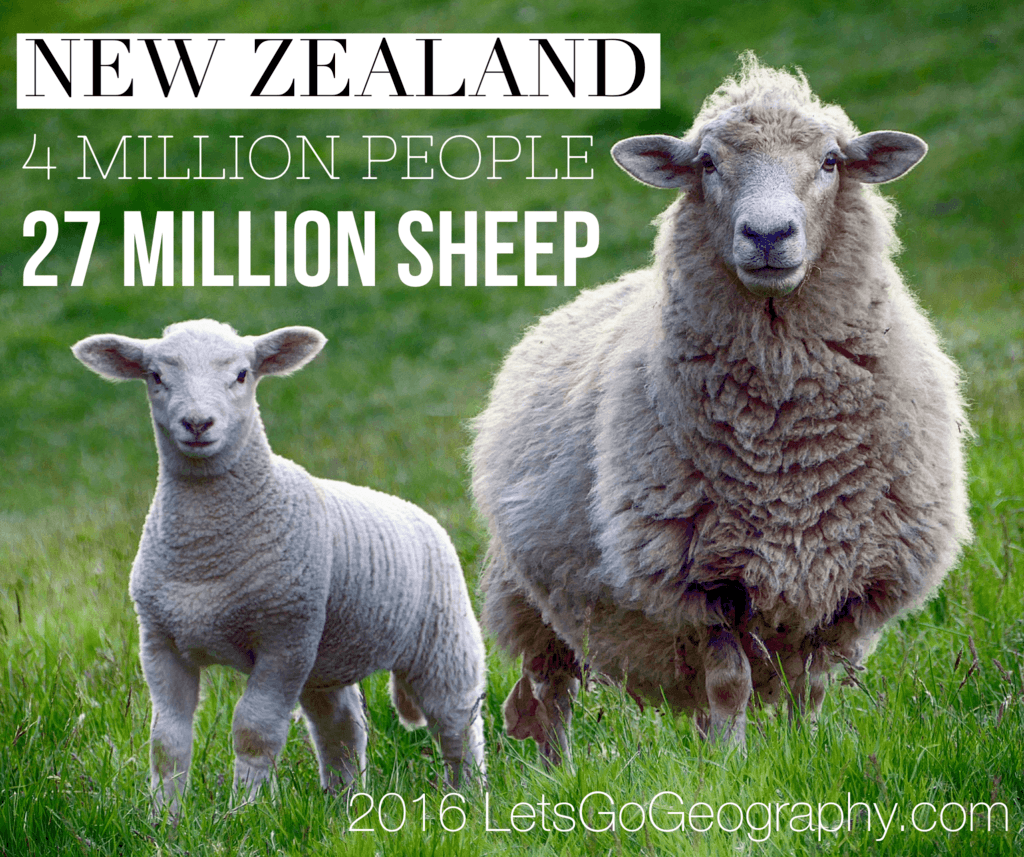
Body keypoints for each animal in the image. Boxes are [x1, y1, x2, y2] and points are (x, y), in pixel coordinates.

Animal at [72, 319, 486, 815]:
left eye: (242, 375)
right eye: (155, 376)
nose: (197, 424)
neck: (204, 553)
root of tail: (417, 512)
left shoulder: (283, 638)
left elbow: (255, 730)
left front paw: (242, 812)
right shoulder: (160, 641)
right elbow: (166, 741)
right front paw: (163, 817)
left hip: (442, 638)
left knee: (457, 720)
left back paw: (467, 797)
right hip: (324, 658)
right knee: (341, 728)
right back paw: (345, 803)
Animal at [470, 54, 970, 763]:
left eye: (830, 161)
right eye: (708, 163)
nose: (767, 234)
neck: (787, 448)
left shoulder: (844, 579)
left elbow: (810, 688)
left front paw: (803, 754)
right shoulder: (702, 582)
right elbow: (730, 684)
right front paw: (731, 768)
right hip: (530, 598)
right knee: (549, 692)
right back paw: (558, 772)